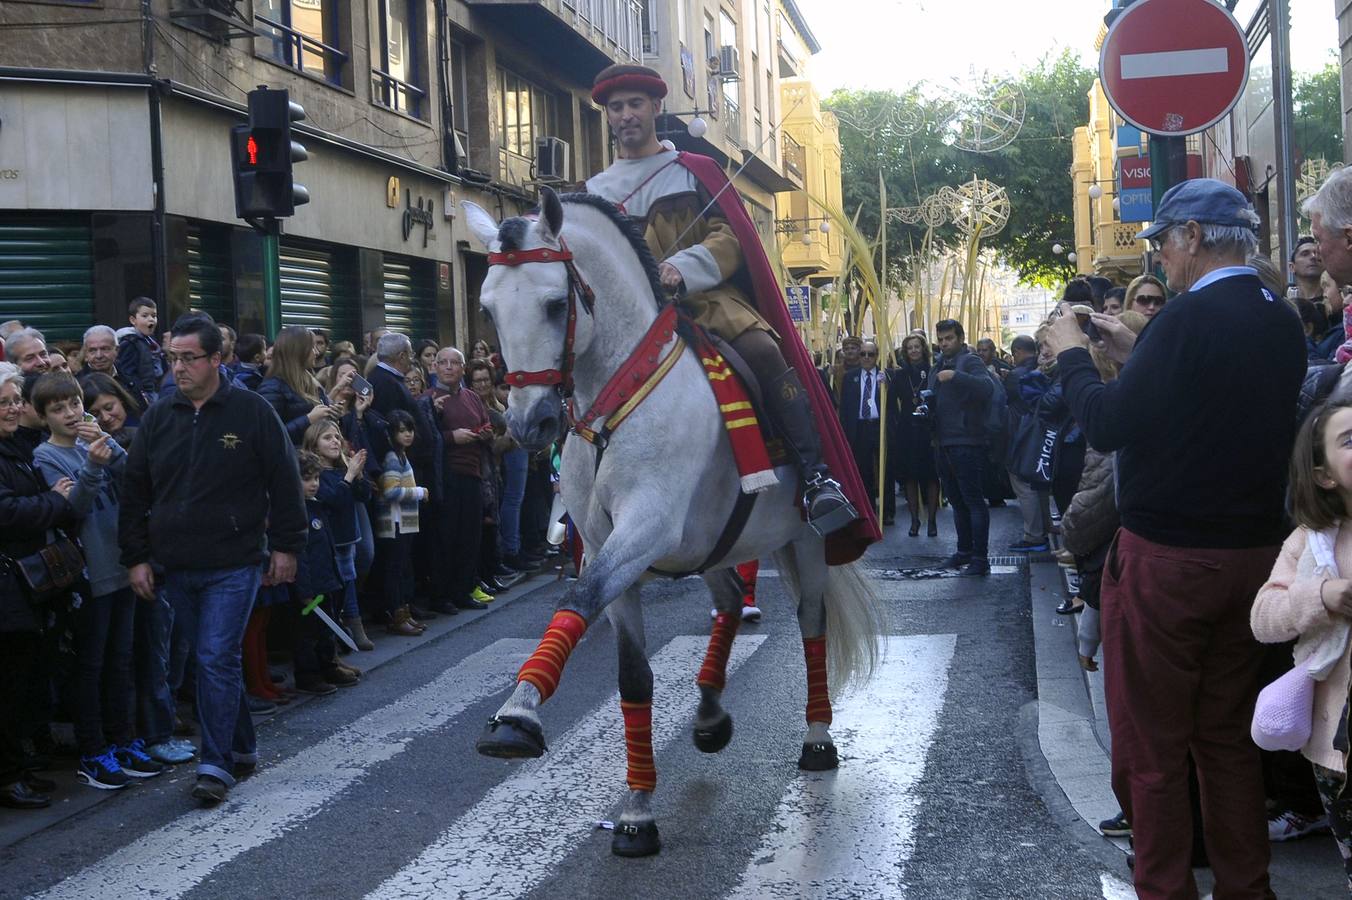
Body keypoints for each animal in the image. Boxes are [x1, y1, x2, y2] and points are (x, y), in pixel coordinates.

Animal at [465, 187, 886, 854]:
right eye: (487, 310)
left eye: (556, 304)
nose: (529, 424)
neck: (619, 395)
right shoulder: (609, 546)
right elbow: (633, 675)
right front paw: (636, 810)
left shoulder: (647, 528)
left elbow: (577, 597)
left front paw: (517, 716)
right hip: (713, 542)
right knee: (728, 600)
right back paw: (710, 713)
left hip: (808, 542)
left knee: (811, 623)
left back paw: (818, 736)